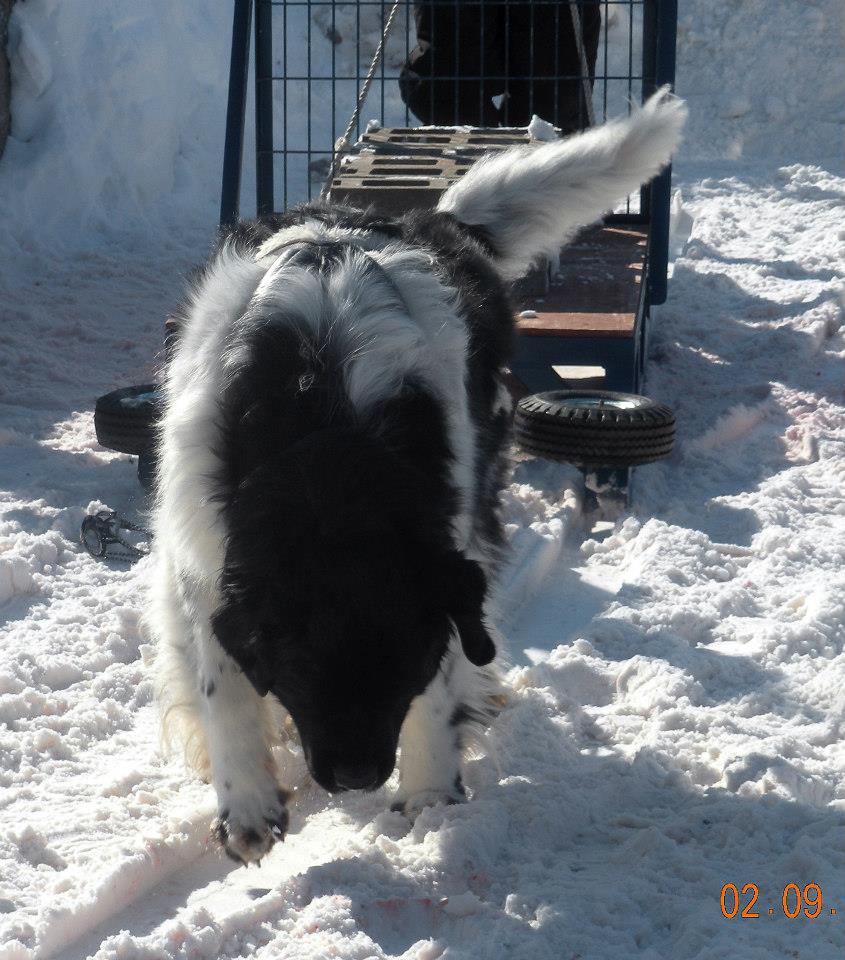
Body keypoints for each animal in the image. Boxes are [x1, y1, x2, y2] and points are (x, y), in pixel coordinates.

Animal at [148, 90, 684, 868]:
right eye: (302, 667)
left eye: (401, 662)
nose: (355, 776)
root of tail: (434, 219)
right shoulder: (205, 551)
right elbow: (225, 689)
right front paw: (246, 807)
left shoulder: (442, 546)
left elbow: (443, 679)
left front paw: (430, 794)